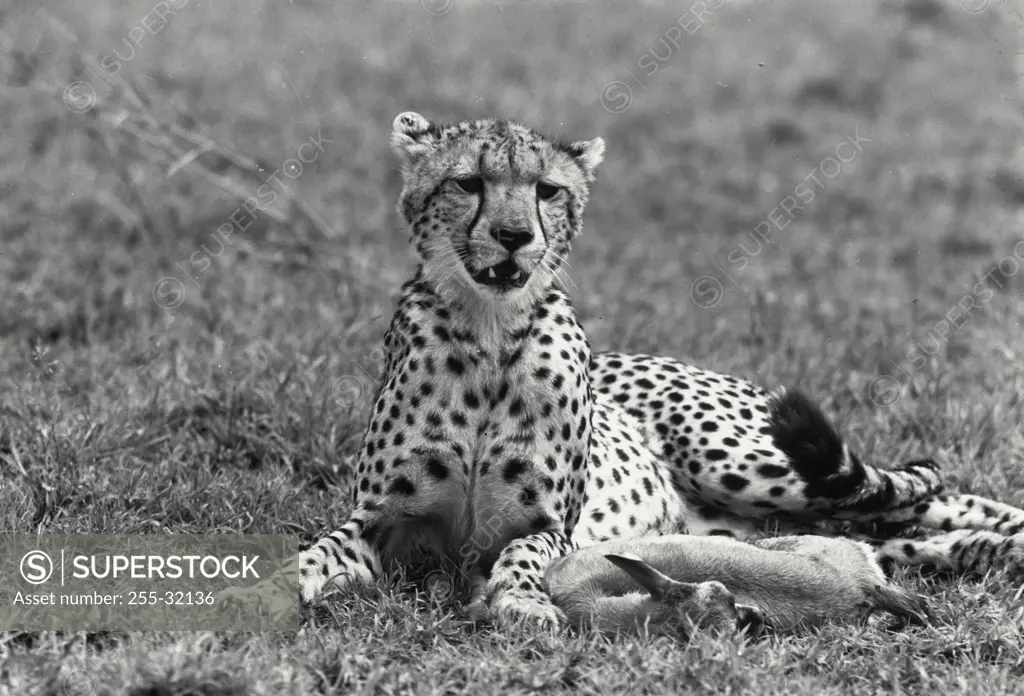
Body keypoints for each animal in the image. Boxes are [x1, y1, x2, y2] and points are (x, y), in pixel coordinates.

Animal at [241, 111, 1024, 626]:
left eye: (547, 190)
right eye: (468, 182)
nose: (514, 236)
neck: (488, 329)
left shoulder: (549, 525)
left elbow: (522, 557)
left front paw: (522, 602)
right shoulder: (384, 521)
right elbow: (311, 553)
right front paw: (257, 591)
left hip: (754, 465)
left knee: (927, 492)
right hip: (756, 526)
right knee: (899, 532)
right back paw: (990, 550)